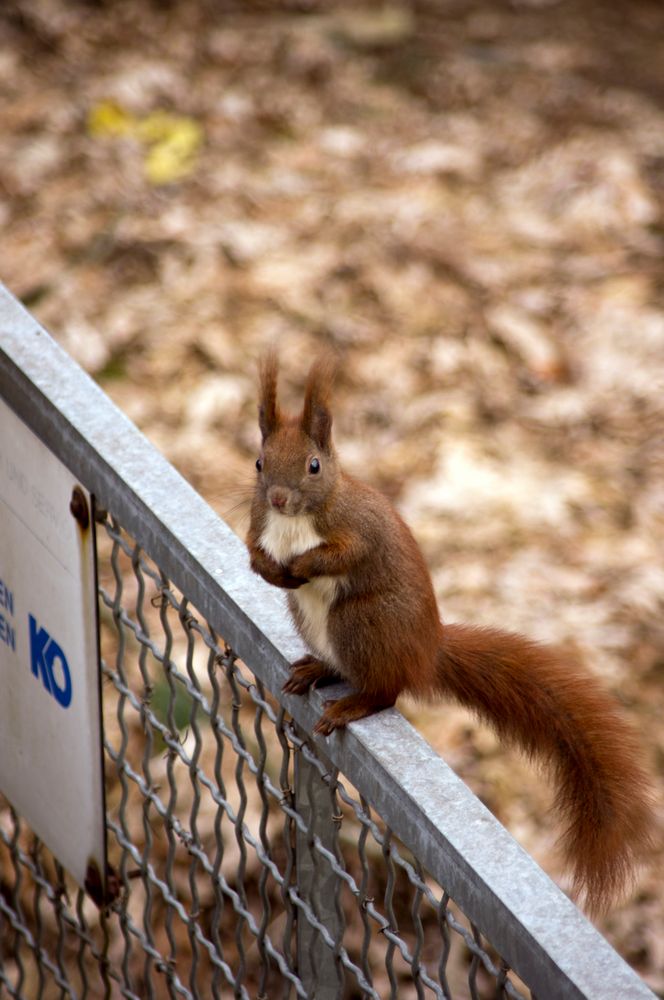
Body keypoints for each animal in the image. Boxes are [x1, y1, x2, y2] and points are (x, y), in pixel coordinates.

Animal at [245, 354, 652, 916]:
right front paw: (269, 567)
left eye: (314, 466)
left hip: (362, 623)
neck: (295, 522)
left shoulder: (358, 530)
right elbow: (252, 548)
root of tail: (426, 652)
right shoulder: (257, 519)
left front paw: (304, 564)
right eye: (259, 463)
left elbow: (345, 554)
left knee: (386, 691)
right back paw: (316, 669)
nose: (281, 499)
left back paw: (353, 703)